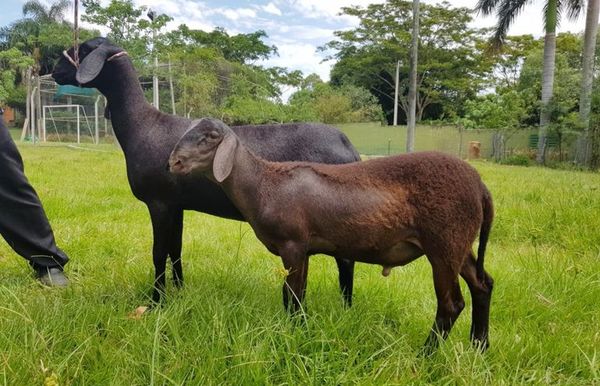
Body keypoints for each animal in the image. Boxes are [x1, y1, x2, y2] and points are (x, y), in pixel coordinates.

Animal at [170, 118, 496, 352]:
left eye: (210, 136)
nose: (173, 162)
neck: (263, 183)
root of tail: (481, 187)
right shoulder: (303, 250)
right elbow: (294, 294)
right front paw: (299, 330)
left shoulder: (293, 244)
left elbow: (293, 295)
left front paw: (296, 333)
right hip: (459, 244)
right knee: (483, 285)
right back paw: (479, 347)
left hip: (444, 243)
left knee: (451, 304)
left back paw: (426, 354)